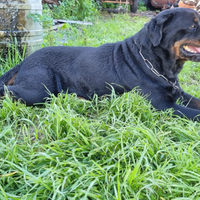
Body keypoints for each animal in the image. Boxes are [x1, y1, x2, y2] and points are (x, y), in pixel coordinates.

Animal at [0, 7, 200, 120]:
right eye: (193, 26)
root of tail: (25, 61)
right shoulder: (162, 105)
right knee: (9, 91)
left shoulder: (178, 94)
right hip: (38, 91)